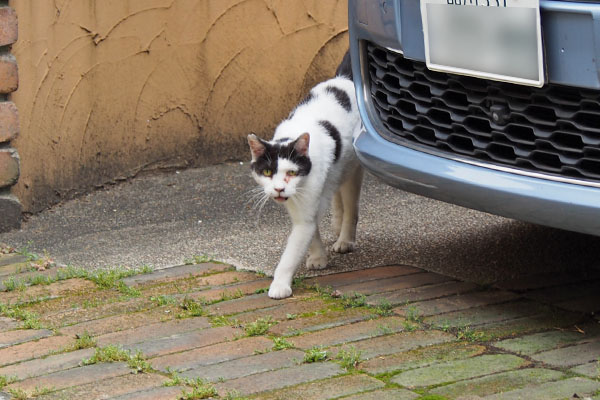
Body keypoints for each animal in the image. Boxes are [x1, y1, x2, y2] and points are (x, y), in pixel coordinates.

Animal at [247, 76, 364, 298]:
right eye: (267, 172)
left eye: (292, 173)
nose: (279, 189)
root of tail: (344, 78)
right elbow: (312, 231)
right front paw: (318, 257)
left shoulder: (307, 206)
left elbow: (292, 251)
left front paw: (280, 285)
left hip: (352, 170)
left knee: (351, 207)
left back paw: (345, 239)